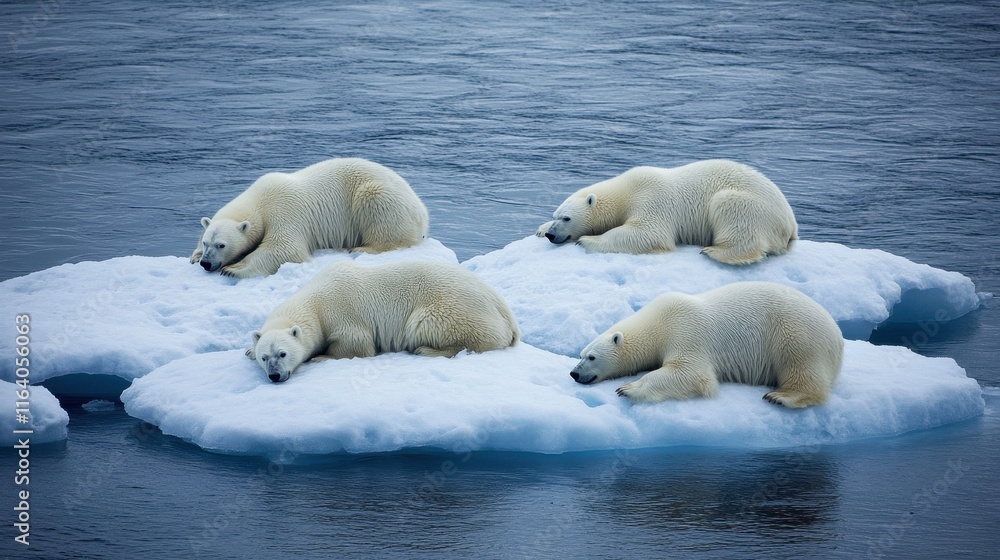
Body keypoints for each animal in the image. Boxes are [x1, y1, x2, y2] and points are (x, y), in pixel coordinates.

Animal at [190, 157, 429, 278]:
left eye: (221, 245)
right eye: (206, 242)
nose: (206, 263)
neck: (260, 201)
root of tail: (422, 210)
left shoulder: (284, 212)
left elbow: (283, 249)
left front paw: (233, 269)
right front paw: (194, 256)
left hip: (376, 195)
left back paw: (362, 248)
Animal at [246, 260, 520, 382]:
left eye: (282, 354)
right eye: (264, 357)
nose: (274, 376)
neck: (316, 301)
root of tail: (507, 314)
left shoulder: (342, 313)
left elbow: (357, 345)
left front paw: (321, 356)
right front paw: (248, 350)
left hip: (450, 309)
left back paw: (426, 350)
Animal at [536, 159, 798, 265]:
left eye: (567, 218)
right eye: (555, 217)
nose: (551, 235)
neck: (627, 191)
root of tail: (791, 223)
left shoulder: (651, 199)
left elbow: (647, 233)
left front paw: (587, 240)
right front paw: (540, 229)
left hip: (750, 204)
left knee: (733, 212)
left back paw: (714, 251)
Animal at [570, 281, 843, 408]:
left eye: (591, 357)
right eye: (580, 354)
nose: (574, 373)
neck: (658, 322)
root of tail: (837, 334)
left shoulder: (686, 330)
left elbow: (691, 373)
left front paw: (629, 387)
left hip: (796, 333)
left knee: (801, 366)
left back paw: (780, 396)